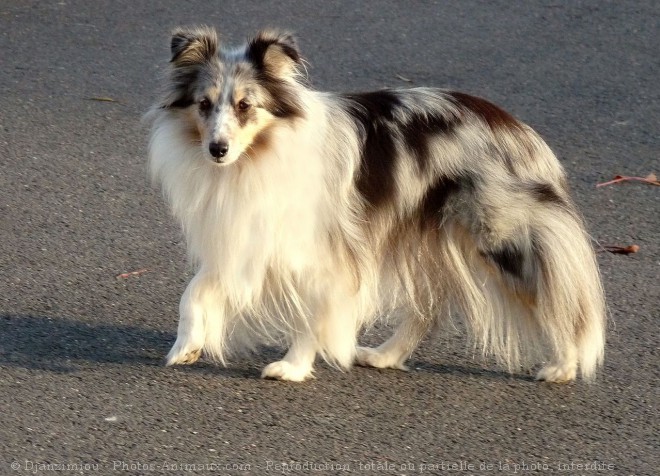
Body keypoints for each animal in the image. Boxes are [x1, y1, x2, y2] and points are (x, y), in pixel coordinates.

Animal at [147, 26, 604, 384]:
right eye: (204, 104)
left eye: (246, 105)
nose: (217, 149)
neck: (258, 155)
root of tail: (519, 131)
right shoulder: (247, 238)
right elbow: (194, 290)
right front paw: (186, 347)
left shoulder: (322, 254)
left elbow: (312, 313)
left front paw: (292, 367)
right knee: (428, 308)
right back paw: (384, 356)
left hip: (499, 235)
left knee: (554, 296)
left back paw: (564, 365)